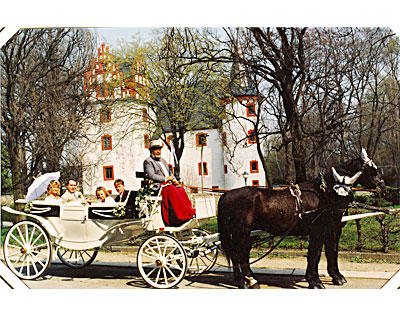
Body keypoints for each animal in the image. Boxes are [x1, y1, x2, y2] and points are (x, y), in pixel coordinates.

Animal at [217, 149, 386, 288]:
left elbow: (332, 251)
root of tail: (226, 195)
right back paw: (242, 282)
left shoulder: (332, 230)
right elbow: (315, 255)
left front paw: (336, 276)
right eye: (373, 170)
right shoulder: (318, 231)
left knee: (243, 254)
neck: (323, 194)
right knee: (237, 254)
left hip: (249, 234)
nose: (383, 188)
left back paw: (250, 280)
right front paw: (315, 281)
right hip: (240, 232)